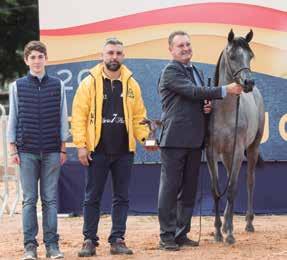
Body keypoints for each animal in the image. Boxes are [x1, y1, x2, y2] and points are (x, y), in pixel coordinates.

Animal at [207, 29, 266, 245]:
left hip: (252, 149)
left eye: (251, 55)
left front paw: (230, 234)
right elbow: (216, 189)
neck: (225, 112)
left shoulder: (238, 152)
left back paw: (248, 223)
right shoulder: (211, 153)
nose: (249, 82)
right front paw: (218, 231)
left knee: (249, 181)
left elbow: (232, 189)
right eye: (232, 55)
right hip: (226, 156)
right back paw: (224, 225)